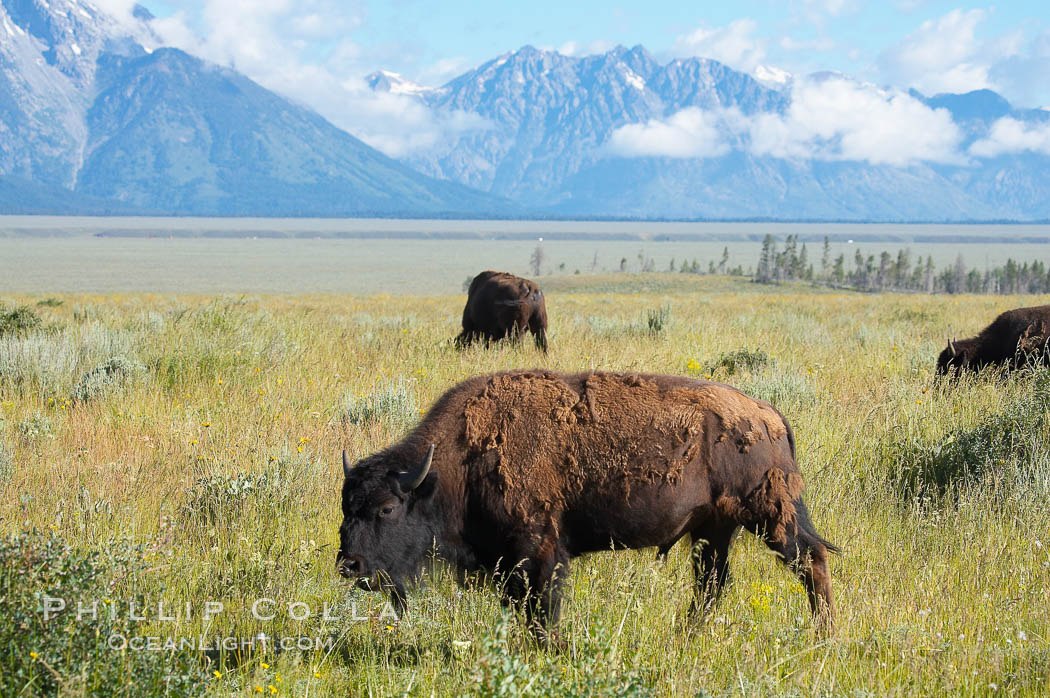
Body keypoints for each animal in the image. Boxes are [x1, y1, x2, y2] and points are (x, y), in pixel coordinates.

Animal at [336, 369, 835, 638]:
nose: (349, 565)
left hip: (771, 516)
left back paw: (825, 635)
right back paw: (686, 635)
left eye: (386, 508)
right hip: (714, 528)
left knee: (811, 561)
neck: (454, 463)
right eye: (346, 507)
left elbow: (542, 610)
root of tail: (767, 414)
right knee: (712, 582)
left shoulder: (538, 553)